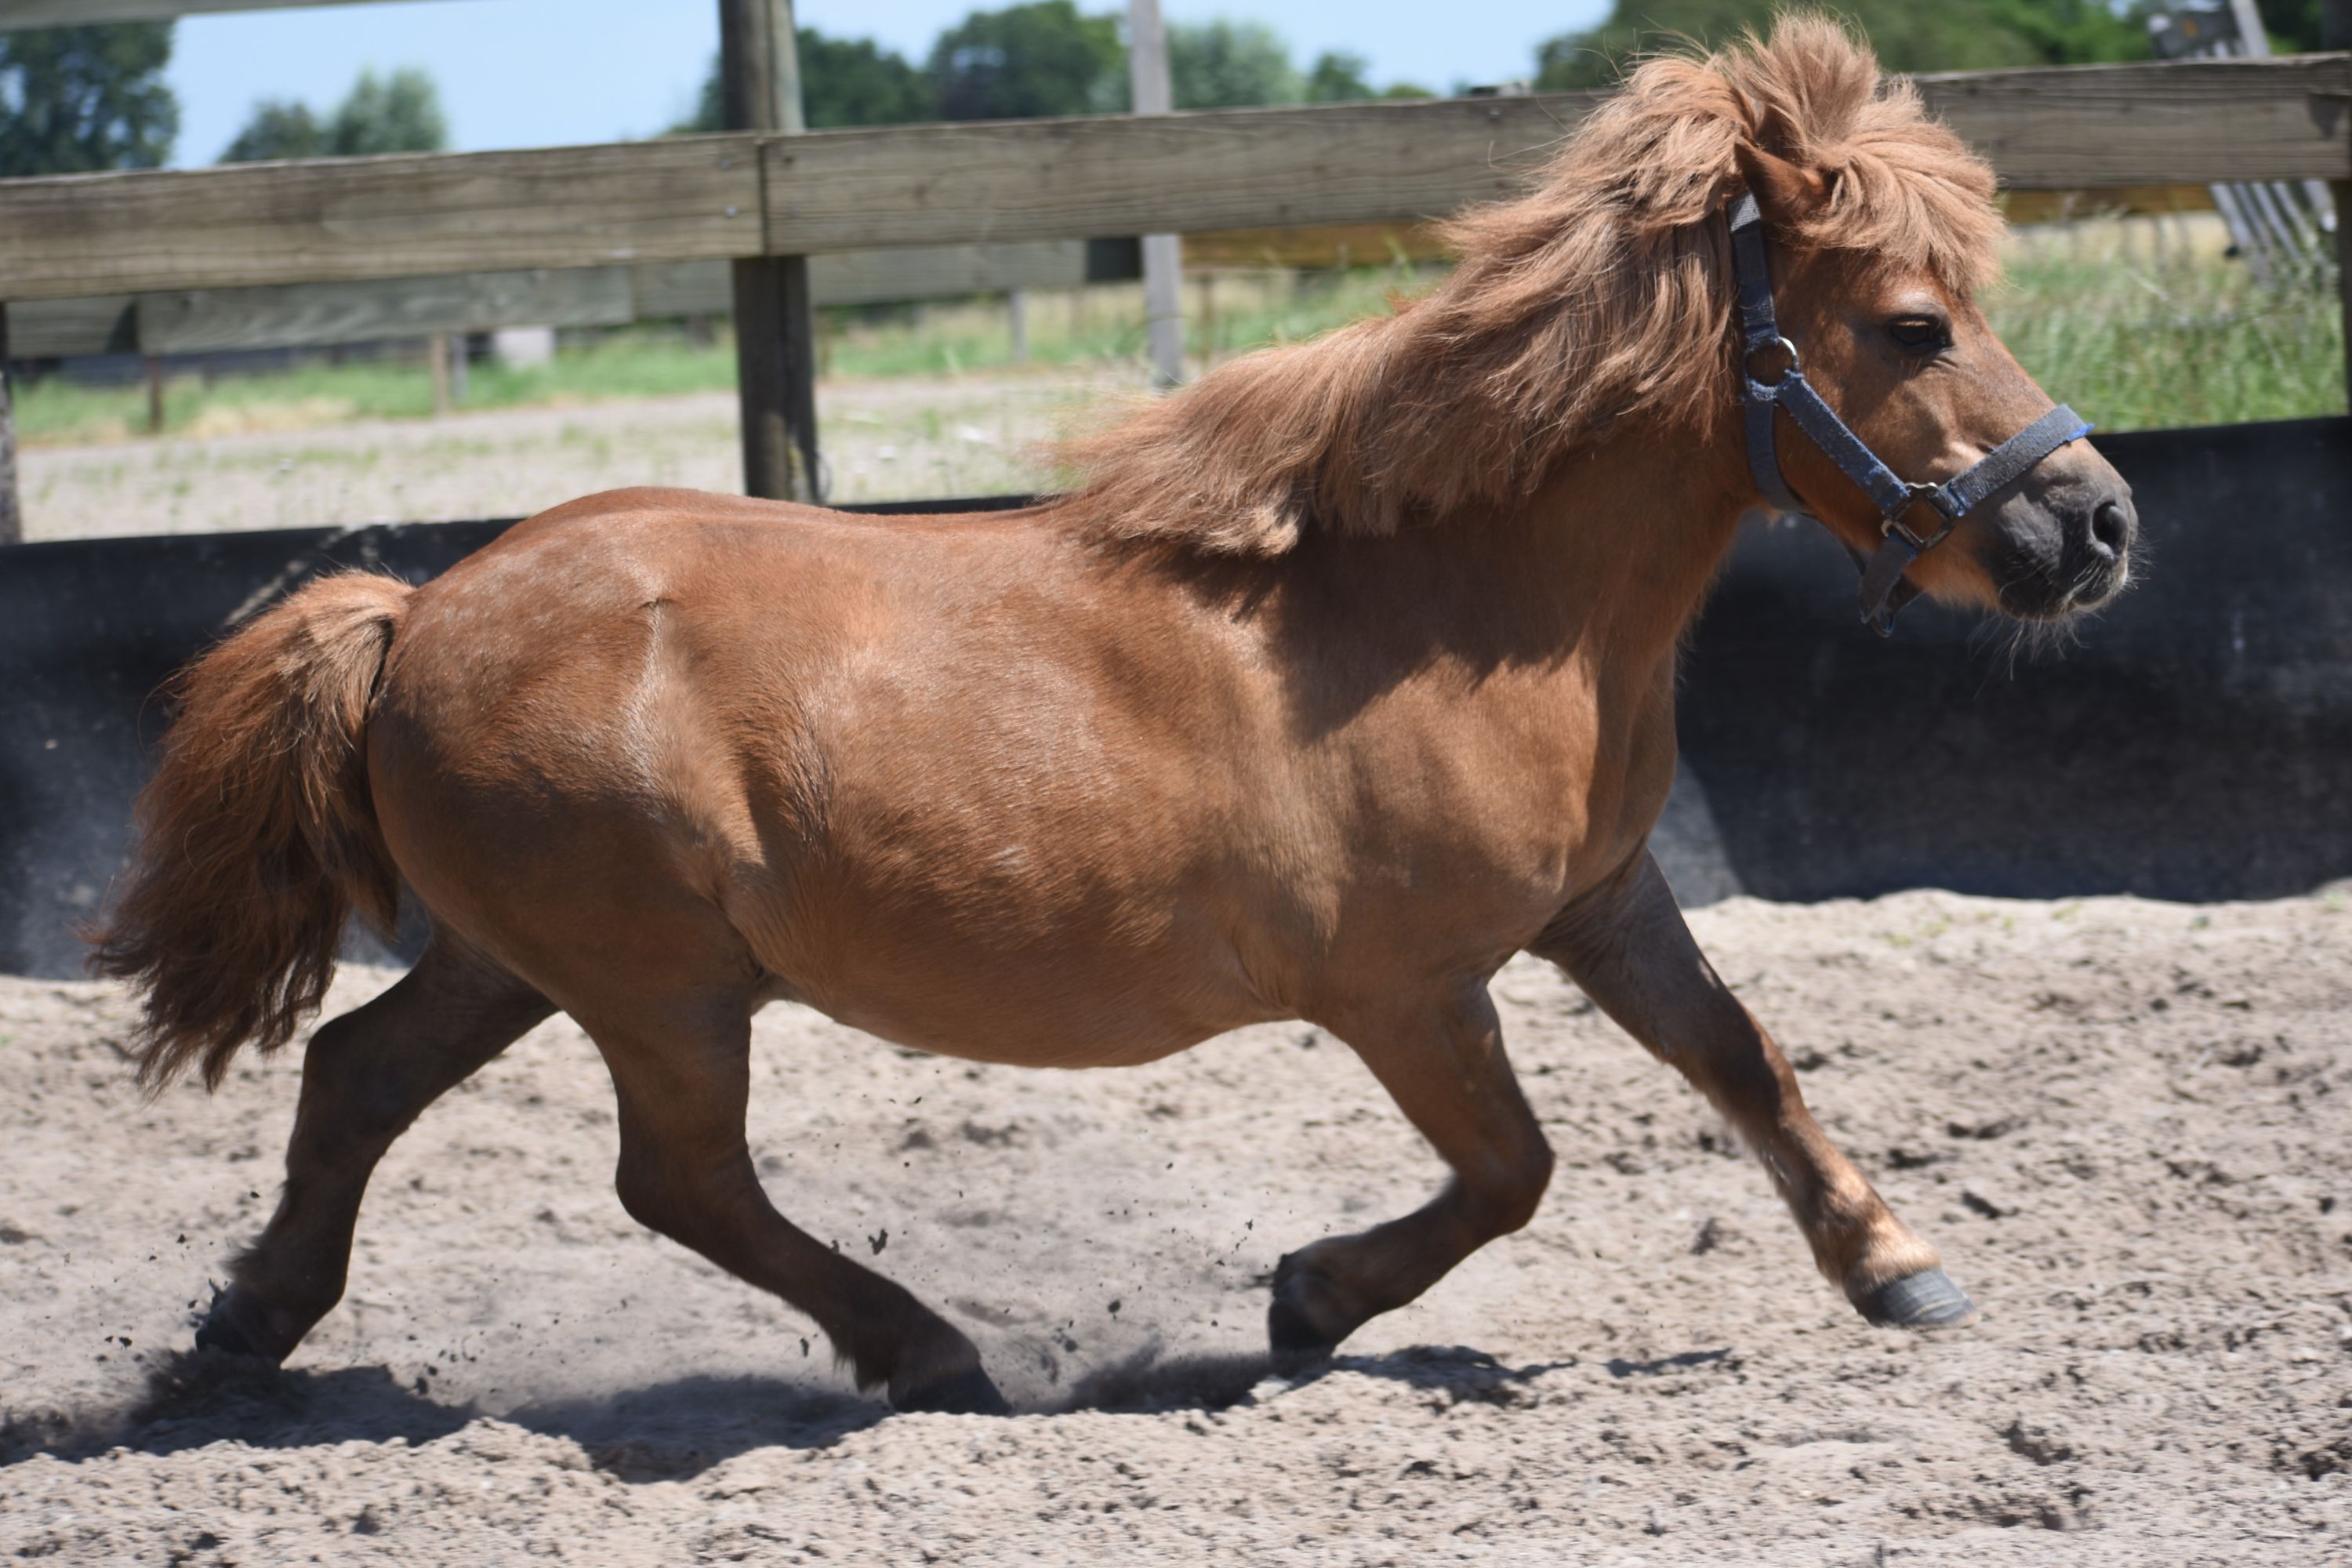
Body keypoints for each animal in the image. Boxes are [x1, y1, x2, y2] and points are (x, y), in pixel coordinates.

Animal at [93, 17, 2134, 1416]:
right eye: (1911, 323)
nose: (2094, 522)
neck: (1468, 605)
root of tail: (416, 607)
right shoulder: (1406, 988)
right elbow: (1515, 1166)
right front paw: (1307, 1297)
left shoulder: (1600, 899)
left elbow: (1742, 1060)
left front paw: (1898, 1266)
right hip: (655, 984)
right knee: (677, 1176)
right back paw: (930, 1349)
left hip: (523, 958)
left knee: (357, 1078)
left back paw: (237, 1334)